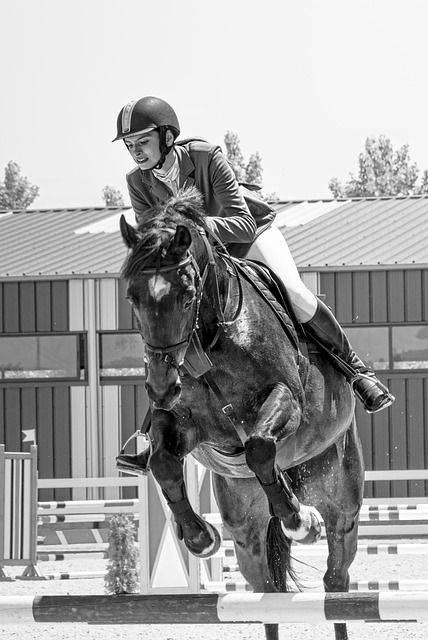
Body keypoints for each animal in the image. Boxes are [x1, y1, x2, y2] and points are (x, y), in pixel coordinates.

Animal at [117, 188, 365, 640]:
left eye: (187, 294)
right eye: (132, 297)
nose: (160, 386)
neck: (209, 337)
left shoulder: (286, 401)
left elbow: (260, 447)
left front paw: (299, 520)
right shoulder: (182, 423)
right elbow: (163, 463)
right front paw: (199, 537)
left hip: (343, 503)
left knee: (336, 580)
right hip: (246, 526)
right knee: (266, 590)